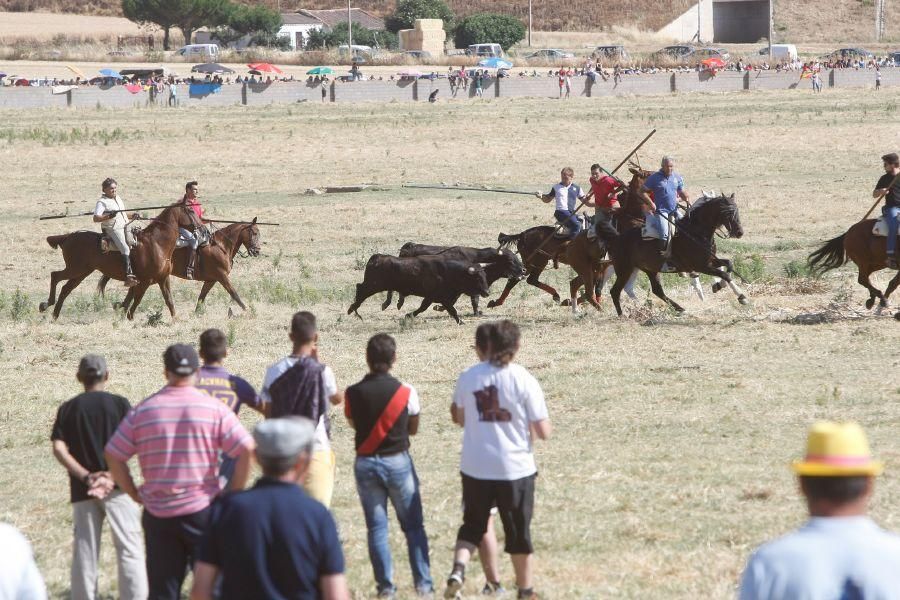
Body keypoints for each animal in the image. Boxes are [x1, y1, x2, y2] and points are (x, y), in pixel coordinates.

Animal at [40, 204, 200, 322]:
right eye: (191, 210)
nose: (202, 227)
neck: (156, 243)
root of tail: (68, 237)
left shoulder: (163, 278)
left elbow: (168, 299)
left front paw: (175, 319)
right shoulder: (145, 281)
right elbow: (137, 299)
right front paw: (128, 317)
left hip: (81, 272)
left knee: (65, 289)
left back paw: (54, 315)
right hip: (75, 269)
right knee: (55, 276)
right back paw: (46, 304)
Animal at [97, 219, 260, 314]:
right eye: (254, 233)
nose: (257, 251)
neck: (220, 246)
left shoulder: (211, 280)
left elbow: (202, 296)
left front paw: (196, 313)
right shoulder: (221, 276)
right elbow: (234, 293)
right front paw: (246, 310)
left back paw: (120, 308)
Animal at [346, 255, 492, 326]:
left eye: (485, 276)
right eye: (477, 277)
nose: (487, 292)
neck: (448, 272)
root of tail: (376, 258)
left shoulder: (434, 297)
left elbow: (424, 307)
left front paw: (409, 315)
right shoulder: (440, 297)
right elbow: (451, 310)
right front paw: (460, 321)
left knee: (359, 288)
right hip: (373, 285)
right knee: (361, 290)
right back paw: (353, 309)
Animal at [596, 193, 744, 316]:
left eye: (737, 210)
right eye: (727, 212)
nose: (739, 232)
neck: (695, 233)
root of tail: (616, 238)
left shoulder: (710, 261)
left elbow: (729, 265)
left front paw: (721, 286)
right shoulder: (701, 266)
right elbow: (724, 273)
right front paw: (741, 296)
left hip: (649, 269)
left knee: (657, 290)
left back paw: (679, 308)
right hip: (624, 270)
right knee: (615, 291)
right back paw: (622, 315)